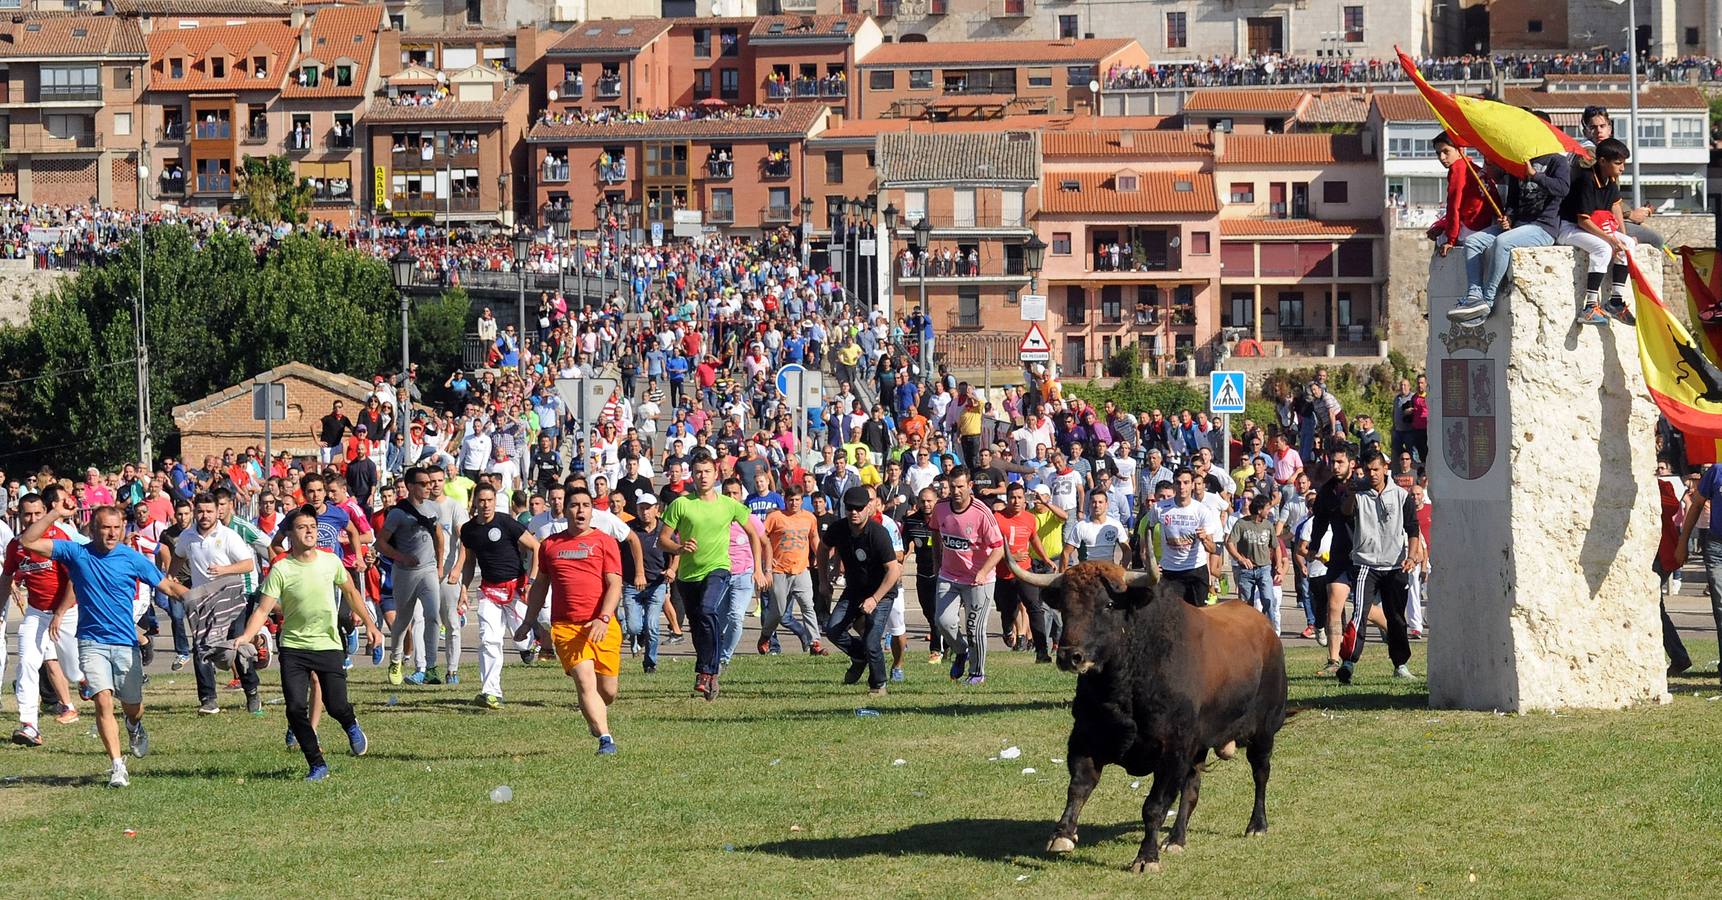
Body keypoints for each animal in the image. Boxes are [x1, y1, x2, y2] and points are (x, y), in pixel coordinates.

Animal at [1012, 557, 1288, 874]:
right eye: (1065, 606)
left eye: (1109, 604)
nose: (1070, 655)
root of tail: (1266, 629)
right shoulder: (1084, 739)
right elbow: (1079, 786)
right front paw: (1063, 834)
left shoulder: (1172, 752)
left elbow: (1154, 806)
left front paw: (1146, 857)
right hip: (1199, 745)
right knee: (1192, 788)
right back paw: (1176, 838)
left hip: (1264, 731)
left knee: (1261, 773)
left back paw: (1257, 825)